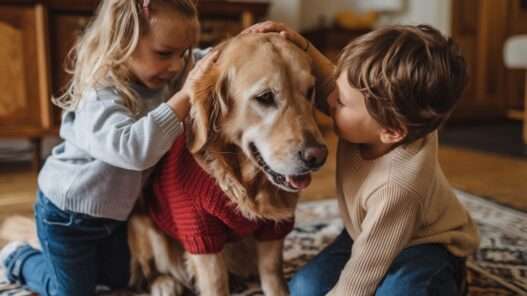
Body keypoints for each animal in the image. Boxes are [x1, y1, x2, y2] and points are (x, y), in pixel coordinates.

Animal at [127, 33, 326, 296]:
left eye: (310, 91)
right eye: (265, 97)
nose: (318, 156)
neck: (246, 180)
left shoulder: (273, 230)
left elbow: (272, 274)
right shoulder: (201, 233)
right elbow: (215, 283)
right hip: (143, 223)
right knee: (148, 270)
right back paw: (164, 283)